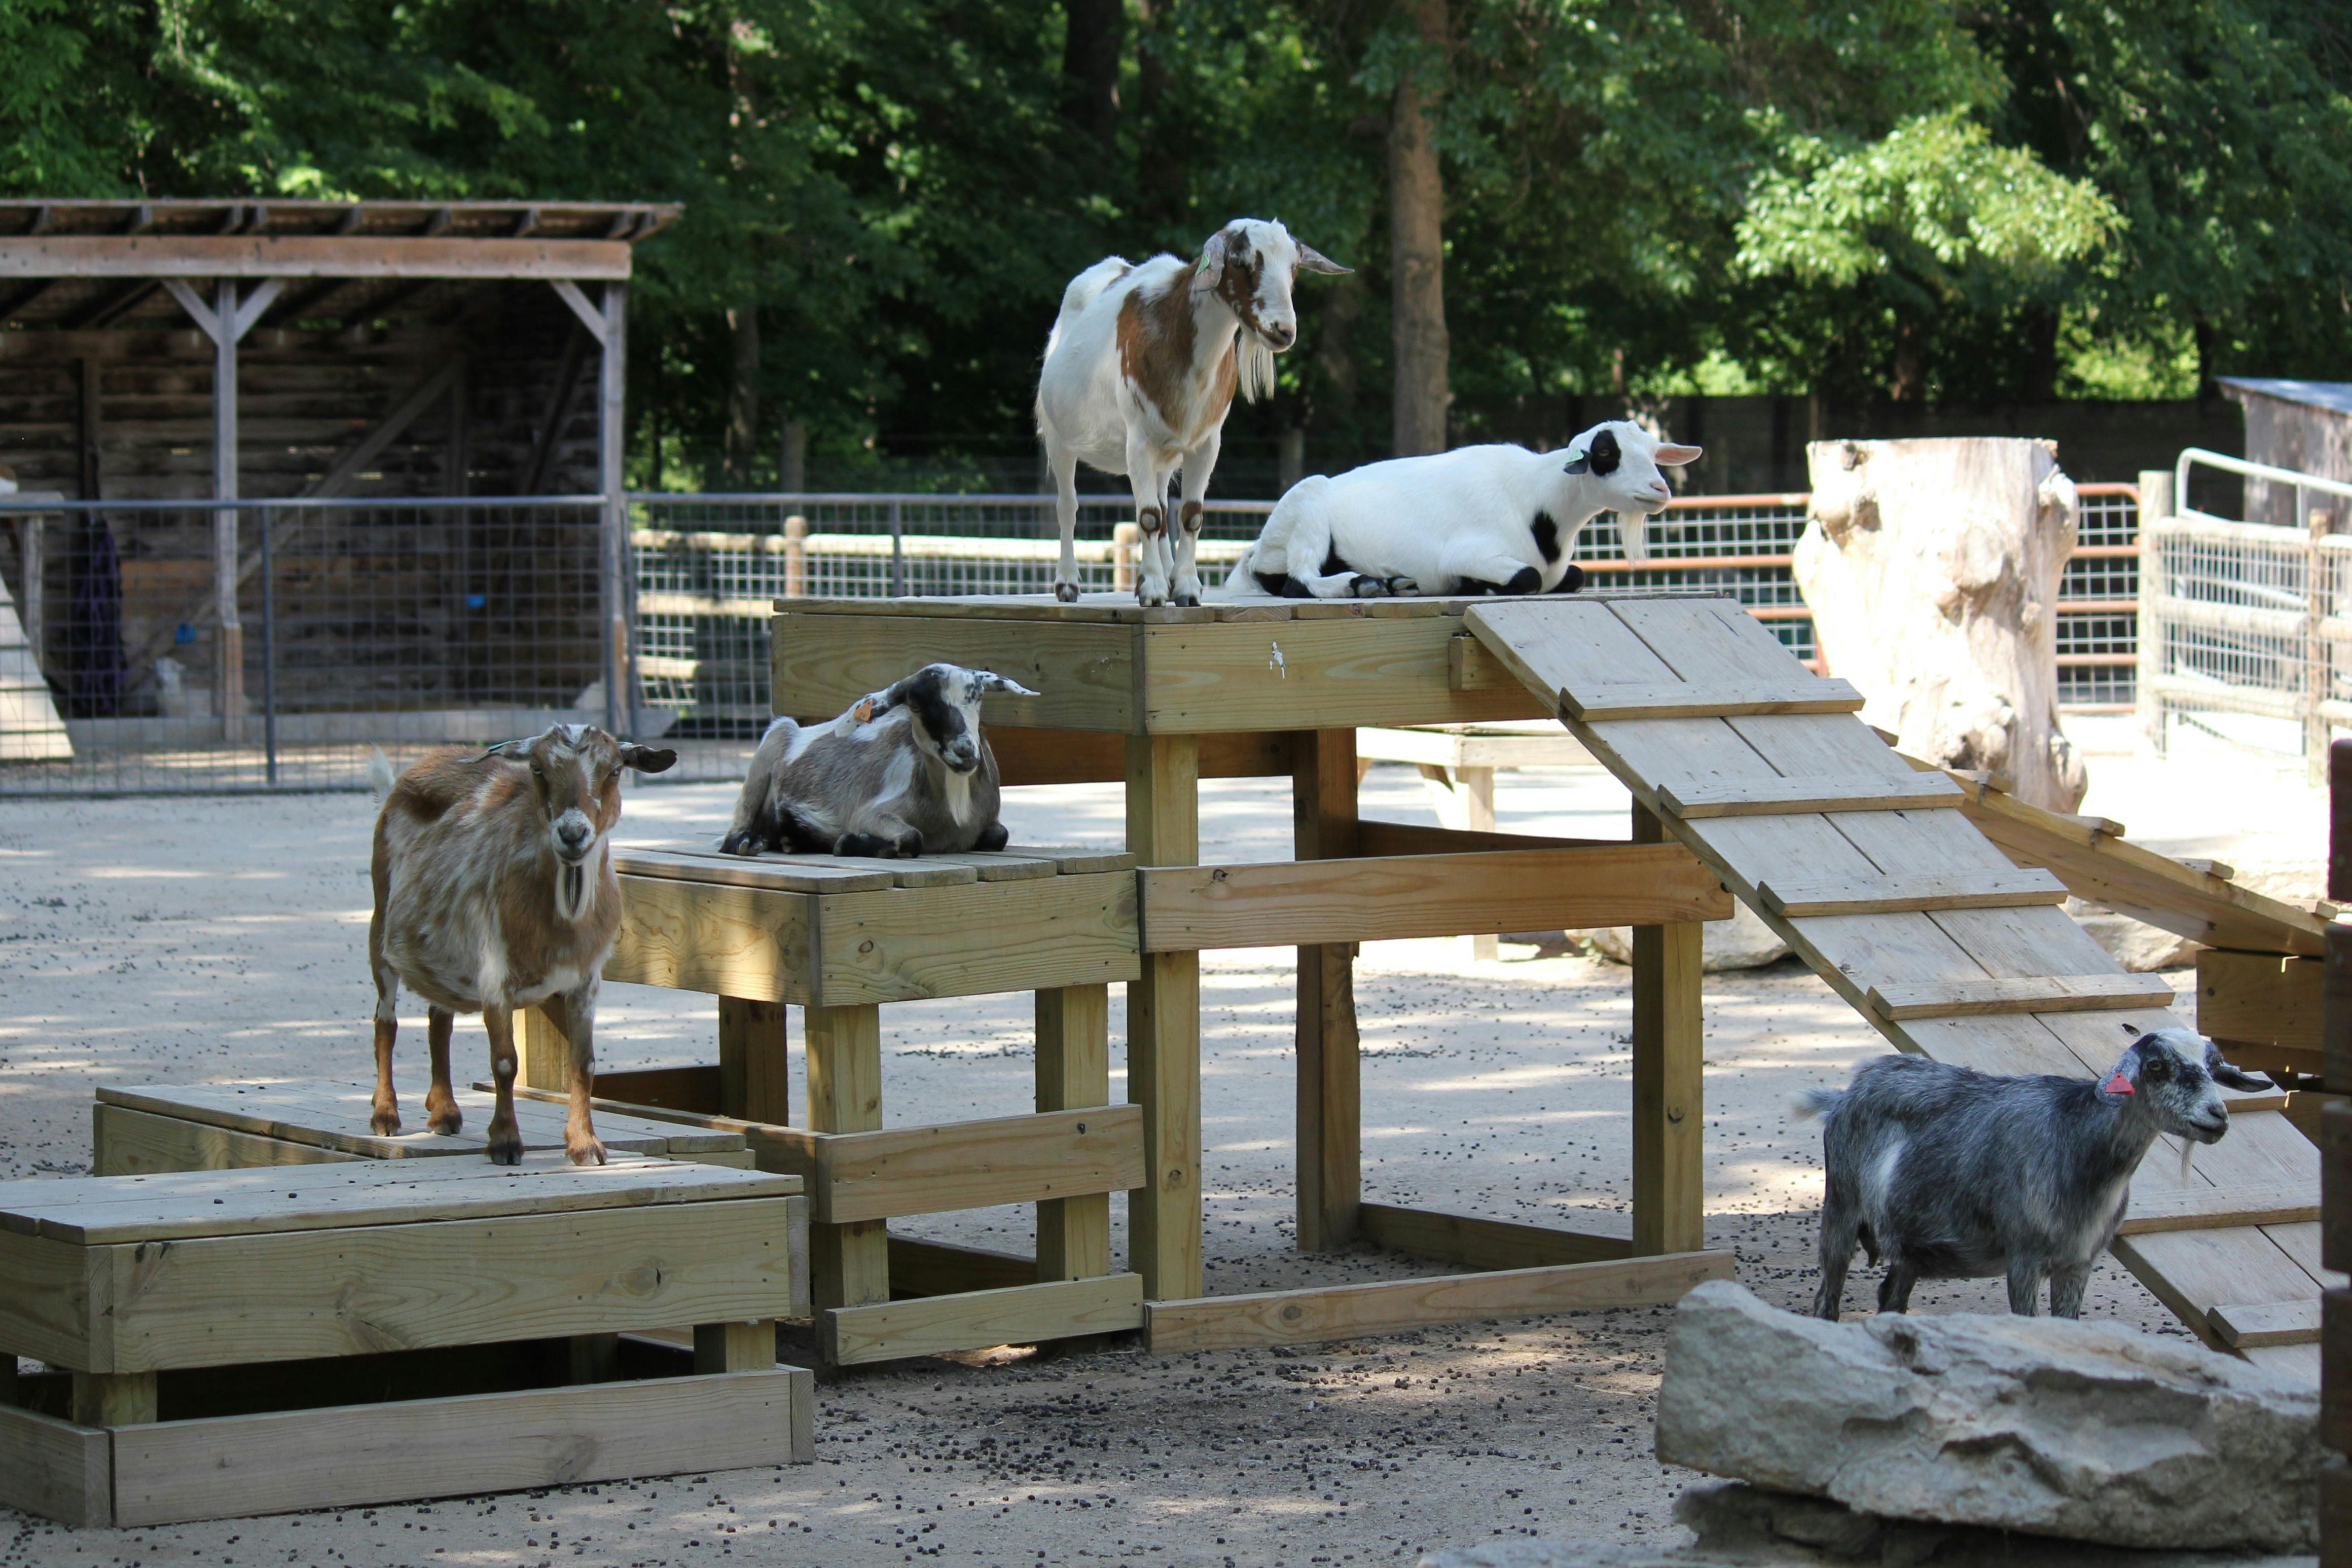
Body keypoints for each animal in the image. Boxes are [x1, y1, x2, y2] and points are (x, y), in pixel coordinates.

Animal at [367, 725, 677, 1166]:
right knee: (386, 1020)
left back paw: (444, 1112)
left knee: (438, 1018)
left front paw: (585, 1144)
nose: (572, 833)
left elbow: (583, 1063)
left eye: (616, 769)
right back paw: (385, 1115)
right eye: (537, 769)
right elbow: (505, 1062)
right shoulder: (495, 975)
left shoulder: (586, 980)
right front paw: (505, 1142)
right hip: (379, 924)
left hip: (442, 953)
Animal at [720, 662, 1036, 858]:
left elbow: (999, 835)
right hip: (771, 744)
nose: (965, 751)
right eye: (915, 704)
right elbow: (911, 838)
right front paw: (849, 843)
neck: (955, 813)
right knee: (734, 833)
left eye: (978, 696)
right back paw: (750, 841)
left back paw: (793, 837)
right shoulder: (869, 813)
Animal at [1036, 219, 1349, 608]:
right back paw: (1068, 584)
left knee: (1161, 505)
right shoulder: (1138, 440)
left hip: (1164, 454)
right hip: (1059, 437)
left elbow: (1189, 515)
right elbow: (1148, 517)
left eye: (1294, 266)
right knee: (1068, 505)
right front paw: (1153, 590)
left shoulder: (1206, 443)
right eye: (1238, 260)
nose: (1283, 330)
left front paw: (1184, 587)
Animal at [1227, 420, 1702, 600]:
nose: (1659, 489)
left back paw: (1393, 583)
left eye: (1653, 452)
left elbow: (1576, 576)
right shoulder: (1465, 553)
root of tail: (1257, 550)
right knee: (1298, 581)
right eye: (1605, 452)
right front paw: (1478, 587)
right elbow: (1527, 578)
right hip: (1308, 506)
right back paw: (1361, 584)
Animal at [1792, 1027, 2273, 1320]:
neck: (2075, 1142)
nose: (2216, 1117)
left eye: (2213, 1069)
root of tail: (1847, 1091)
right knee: (1827, 1294)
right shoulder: (2022, 1257)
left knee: (1891, 1296)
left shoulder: (2078, 1263)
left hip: (1910, 1242)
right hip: (1840, 1206)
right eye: (2156, 1066)